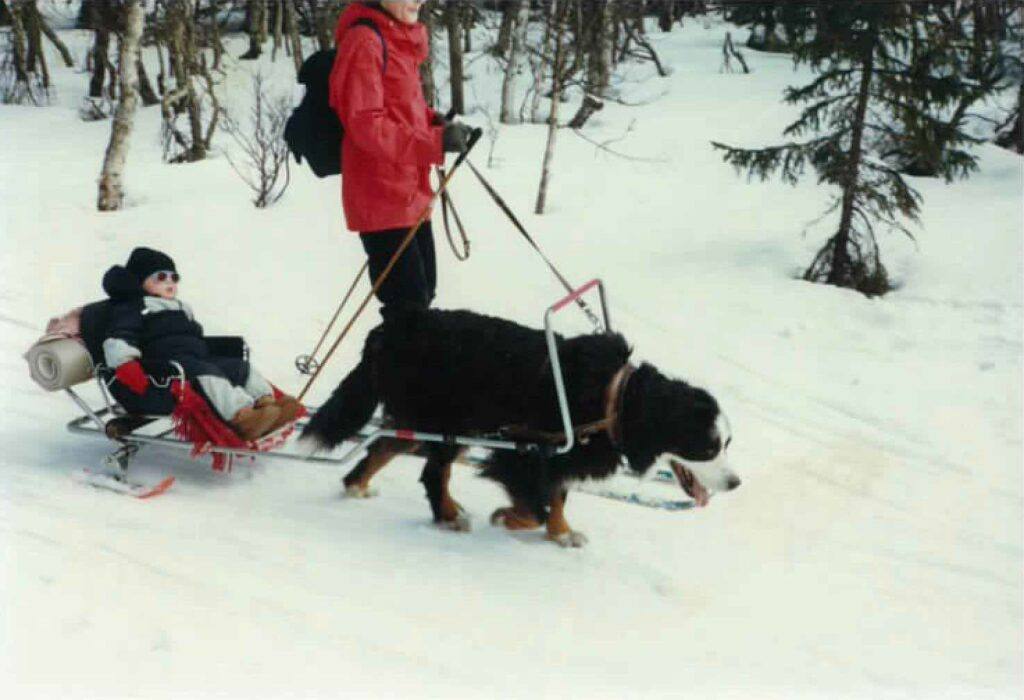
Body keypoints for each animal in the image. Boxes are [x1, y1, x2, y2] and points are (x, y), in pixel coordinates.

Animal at [299, 307, 741, 548]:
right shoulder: (525, 450)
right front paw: (509, 517)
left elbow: (557, 496)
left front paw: (562, 533)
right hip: (449, 421)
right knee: (433, 471)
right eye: (708, 448)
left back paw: (358, 484)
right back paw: (448, 515)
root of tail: (386, 331)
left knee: (385, 446)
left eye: (727, 443)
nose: (736, 483)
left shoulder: (561, 456)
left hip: (422, 418)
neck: (616, 399)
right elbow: (535, 505)